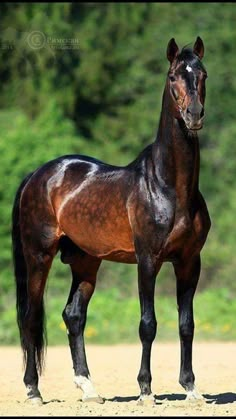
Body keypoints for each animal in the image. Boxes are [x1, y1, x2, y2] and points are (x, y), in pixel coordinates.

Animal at [11, 37, 210, 406]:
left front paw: (191, 388)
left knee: (73, 316)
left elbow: (186, 324)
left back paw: (89, 389)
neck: (169, 187)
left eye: (202, 73)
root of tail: (38, 175)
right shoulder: (148, 260)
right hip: (39, 256)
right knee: (31, 317)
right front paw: (145, 390)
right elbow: (148, 323)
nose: (193, 115)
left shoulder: (190, 262)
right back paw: (33, 390)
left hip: (86, 261)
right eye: (174, 75)